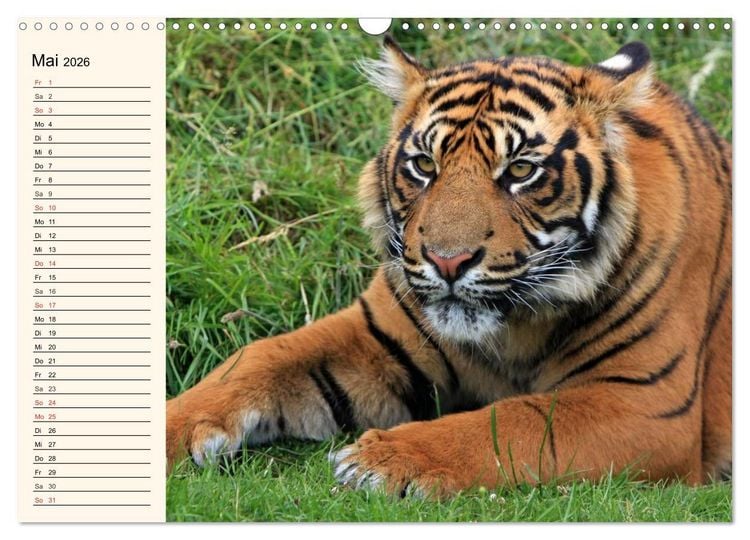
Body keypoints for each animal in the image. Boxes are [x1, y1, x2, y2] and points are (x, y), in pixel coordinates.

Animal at [166, 36, 732, 499]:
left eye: (519, 171)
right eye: (424, 165)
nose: (447, 261)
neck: (513, 329)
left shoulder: (646, 403)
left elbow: (517, 421)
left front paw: (382, 459)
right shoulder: (375, 335)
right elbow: (261, 357)